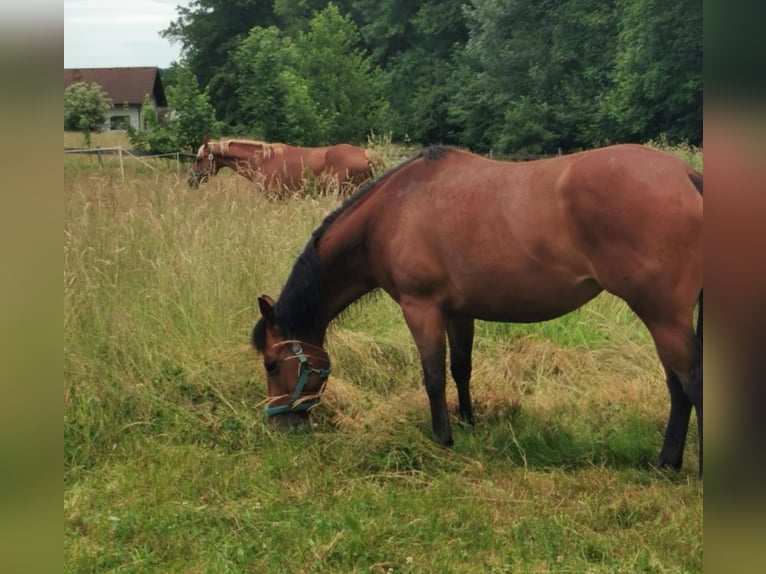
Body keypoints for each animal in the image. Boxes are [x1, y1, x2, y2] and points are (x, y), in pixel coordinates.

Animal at [251, 144, 704, 475]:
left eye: (272, 364)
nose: (279, 424)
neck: (391, 212)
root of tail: (687, 176)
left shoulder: (422, 308)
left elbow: (433, 376)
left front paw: (443, 438)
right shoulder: (458, 312)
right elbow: (460, 369)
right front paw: (468, 423)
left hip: (662, 315)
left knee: (692, 383)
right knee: (677, 387)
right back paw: (667, 462)